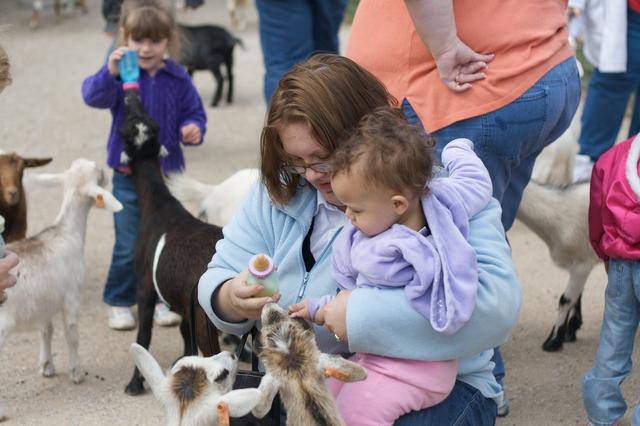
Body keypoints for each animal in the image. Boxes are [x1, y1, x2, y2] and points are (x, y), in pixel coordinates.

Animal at [0, 158, 122, 422]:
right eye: (98, 173)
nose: (107, 174)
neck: (66, 233)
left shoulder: (46, 301)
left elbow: (46, 331)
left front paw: (47, 367)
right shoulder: (72, 297)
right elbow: (72, 334)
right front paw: (76, 373)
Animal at [118, 88, 228, 398]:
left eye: (125, 128)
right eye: (146, 121)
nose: (132, 94)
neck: (158, 203)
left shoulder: (145, 284)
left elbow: (143, 337)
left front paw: (134, 384)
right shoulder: (182, 301)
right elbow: (183, 333)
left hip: (208, 319)